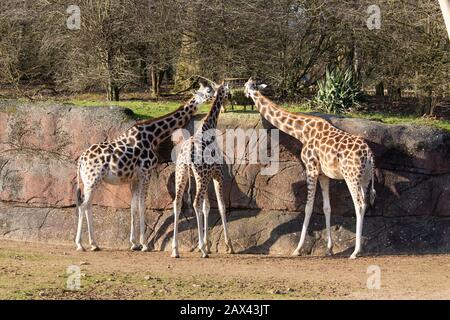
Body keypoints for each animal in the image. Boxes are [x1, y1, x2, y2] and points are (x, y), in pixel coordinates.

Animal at [75, 82, 216, 252]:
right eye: (208, 90)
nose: (218, 94)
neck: (153, 135)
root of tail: (81, 160)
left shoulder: (135, 178)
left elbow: (133, 205)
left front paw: (134, 242)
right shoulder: (146, 172)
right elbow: (143, 205)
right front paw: (144, 244)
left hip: (89, 181)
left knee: (87, 205)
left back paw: (93, 243)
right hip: (92, 179)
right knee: (83, 205)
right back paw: (81, 244)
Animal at [171, 83, 236, 260]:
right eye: (209, 90)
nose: (230, 98)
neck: (208, 127)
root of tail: (187, 153)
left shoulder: (205, 176)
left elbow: (207, 206)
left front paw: (208, 243)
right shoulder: (217, 174)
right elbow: (221, 205)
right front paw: (229, 245)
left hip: (182, 174)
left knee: (178, 202)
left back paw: (175, 250)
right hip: (199, 176)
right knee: (195, 203)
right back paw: (201, 249)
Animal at [244, 79, 374, 258]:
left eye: (245, 86)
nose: (244, 94)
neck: (302, 131)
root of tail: (369, 154)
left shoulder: (311, 168)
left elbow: (308, 207)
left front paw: (297, 249)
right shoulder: (323, 175)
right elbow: (327, 207)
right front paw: (329, 249)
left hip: (351, 176)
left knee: (359, 204)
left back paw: (356, 251)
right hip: (365, 178)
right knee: (366, 203)